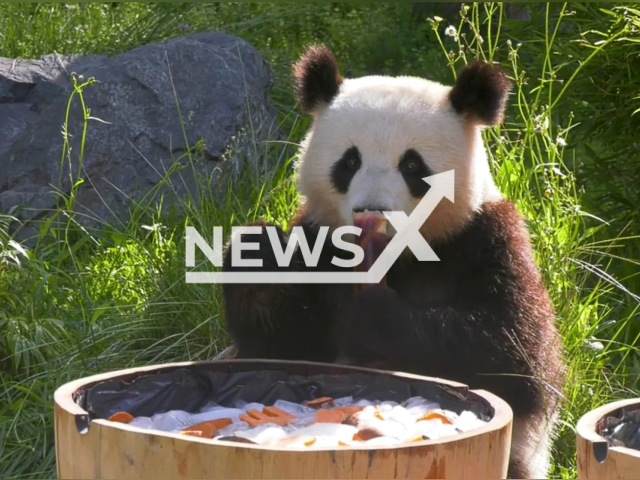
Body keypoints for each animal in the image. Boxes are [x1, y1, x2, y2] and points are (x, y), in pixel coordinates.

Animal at [221, 46, 564, 480]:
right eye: (349, 162)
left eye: (413, 166)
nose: (373, 210)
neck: (396, 255)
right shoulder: (319, 242)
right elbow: (282, 352)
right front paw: (260, 254)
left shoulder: (486, 239)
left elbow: (512, 351)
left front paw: (371, 315)